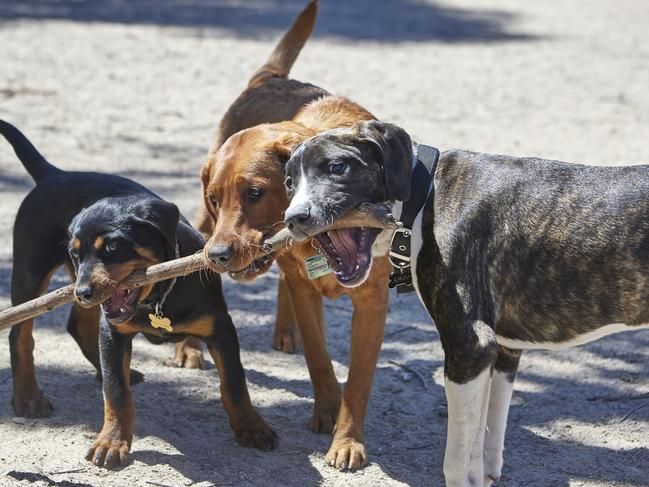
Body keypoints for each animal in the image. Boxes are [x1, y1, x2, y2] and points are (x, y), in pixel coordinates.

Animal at [0, 120, 274, 468]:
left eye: (113, 247)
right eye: (75, 253)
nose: (83, 292)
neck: (157, 298)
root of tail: (54, 174)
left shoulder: (221, 328)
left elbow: (235, 383)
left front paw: (251, 428)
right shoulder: (115, 332)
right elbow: (116, 393)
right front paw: (112, 442)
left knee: (80, 328)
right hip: (30, 271)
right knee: (20, 335)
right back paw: (28, 397)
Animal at [196, 0, 390, 472]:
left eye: (255, 192)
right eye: (215, 198)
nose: (219, 255)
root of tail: (269, 79)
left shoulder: (373, 302)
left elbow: (358, 382)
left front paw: (347, 440)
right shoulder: (307, 289)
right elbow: (320, 358)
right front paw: (326, 411)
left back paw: (285, 332)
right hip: (205, 227)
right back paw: (187, 350)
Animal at [280, 119, 648, 487]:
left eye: (336, 167)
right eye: (288, 182)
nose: (294, 218)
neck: (427, 197)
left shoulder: (469, 346)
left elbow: (456, 460)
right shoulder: (501, 351)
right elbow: (483, 439)